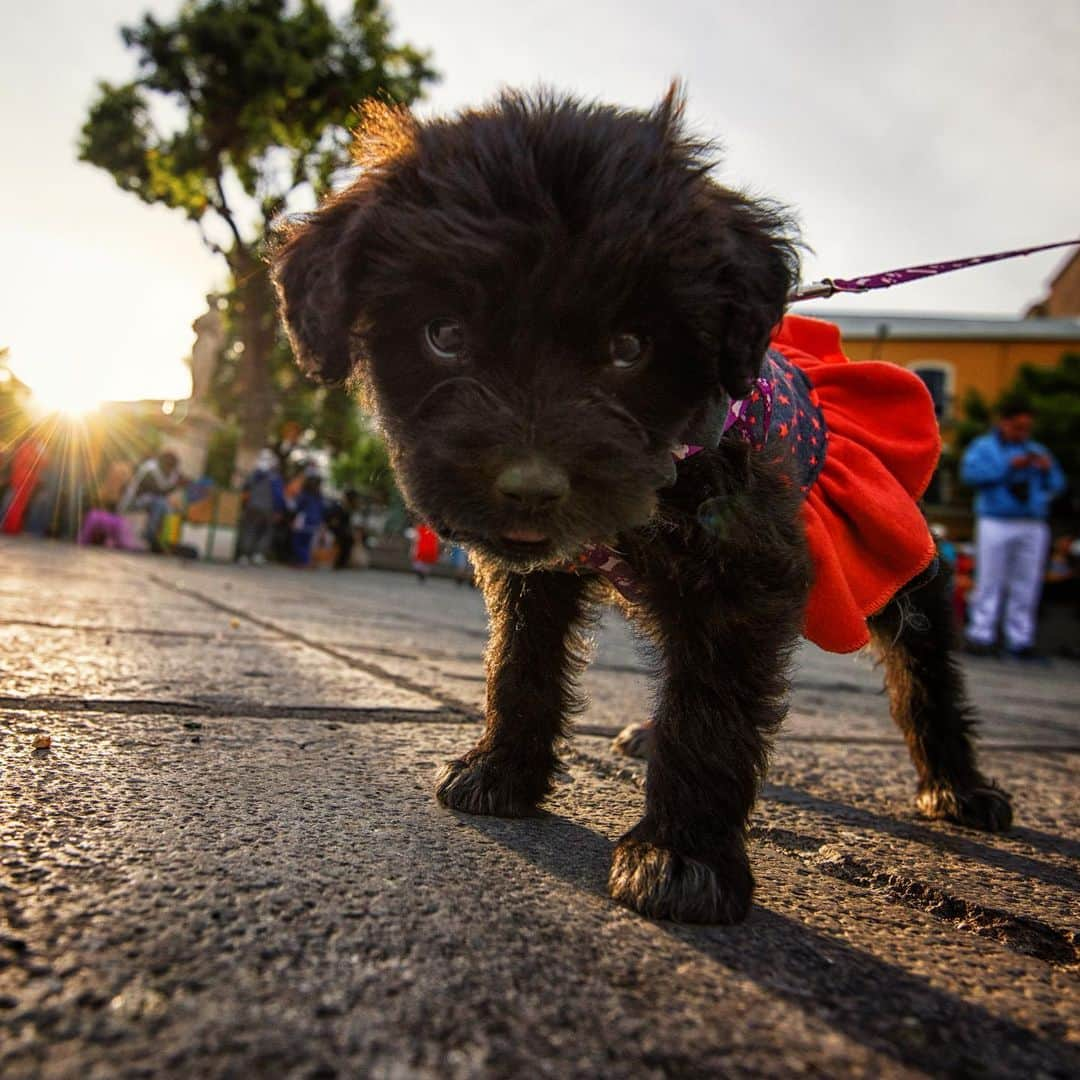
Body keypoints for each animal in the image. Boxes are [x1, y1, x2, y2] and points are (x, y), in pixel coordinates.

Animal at [272, 88, 1010, 924]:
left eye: (629, 348)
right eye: (444, 334)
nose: (531, 486)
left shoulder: (741, 572)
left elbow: (712, 712)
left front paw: (683, 856)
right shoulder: (536, 577)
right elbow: (518, 664)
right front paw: (502, 771)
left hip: (893, 559)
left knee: (923, 661)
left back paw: (958, 786)